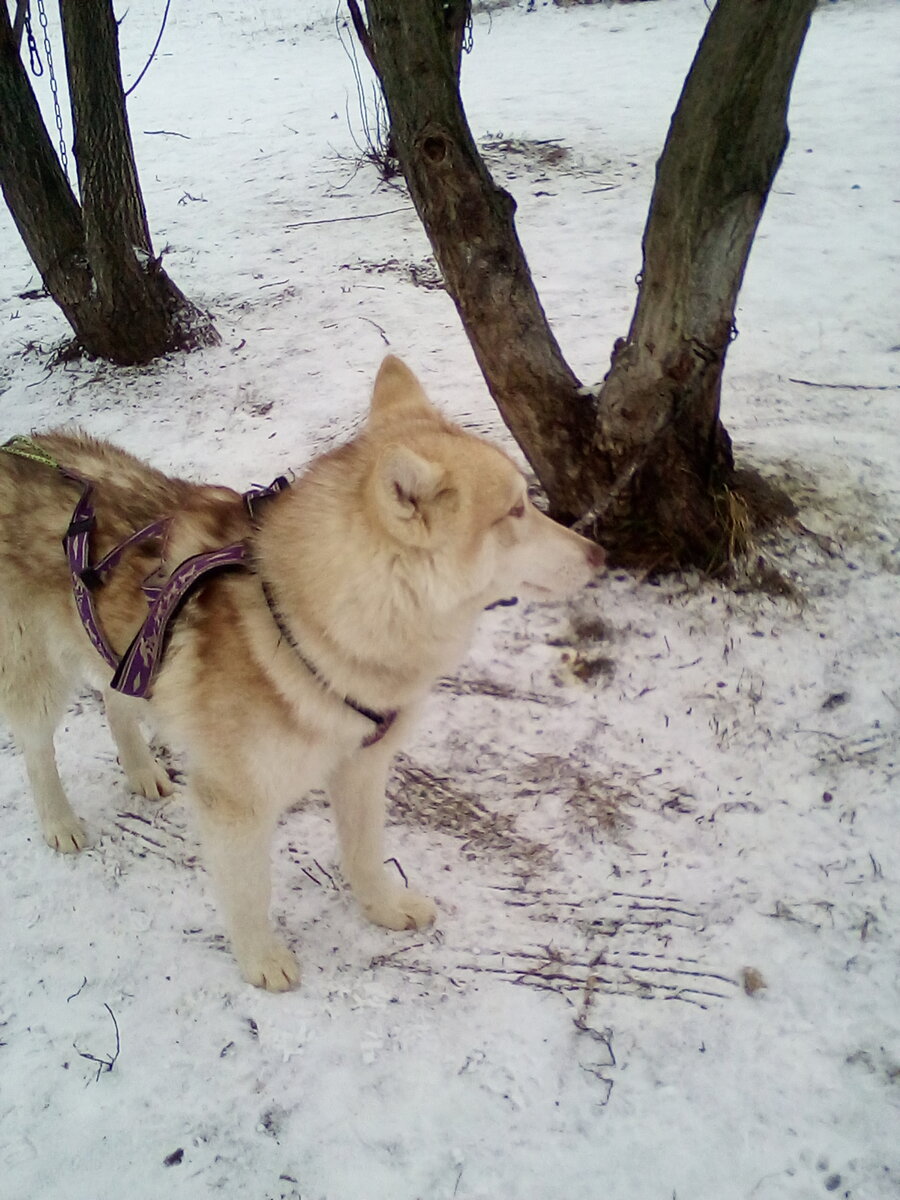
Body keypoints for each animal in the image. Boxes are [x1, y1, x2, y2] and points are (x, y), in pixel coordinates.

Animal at [1, 357, 607, 993]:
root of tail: (13, 449)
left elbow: (365, 854)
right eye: (514, 511)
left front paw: (383, 909)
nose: (599, 554)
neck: (315, 623)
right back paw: (60, 821)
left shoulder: (362, 766)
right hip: (34, 673)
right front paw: (260, 959)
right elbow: (249, 892)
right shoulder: (235, 801)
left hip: (124, 655)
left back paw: (142, 771)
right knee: (37, 749)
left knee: (117, 701)